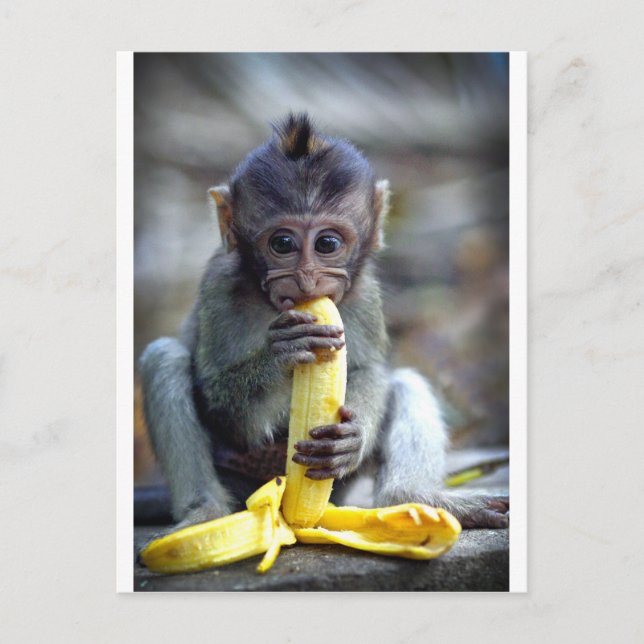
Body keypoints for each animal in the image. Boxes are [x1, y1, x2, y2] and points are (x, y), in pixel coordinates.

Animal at [138, 113, 509, 531]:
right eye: (282, 244)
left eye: (327, 244)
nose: (306, 280)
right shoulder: (219, 288)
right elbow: (220, 401)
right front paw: (281, 354)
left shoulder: (365, 295)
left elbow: (369, 370)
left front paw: (353, 437)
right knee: (164, 357)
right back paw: (204, 513)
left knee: (405, 383)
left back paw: (414, 499)